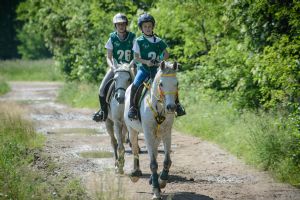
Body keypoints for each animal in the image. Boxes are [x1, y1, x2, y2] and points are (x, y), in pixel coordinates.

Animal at [124, 61, 178, 200]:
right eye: (161, 84)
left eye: (176, 83)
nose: (171, 107)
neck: (159, 107)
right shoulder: (148, 133)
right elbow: (153, 163)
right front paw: (156, 190)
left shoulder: (166, 132)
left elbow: (167, 160)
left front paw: (162, 180)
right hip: (132, 130)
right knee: (135, 149)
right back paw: (136, 173)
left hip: (157, 135)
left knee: (155, 150)